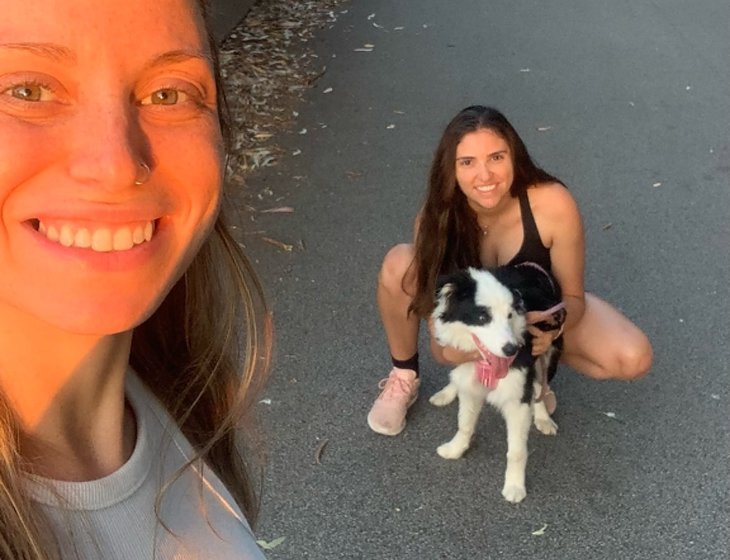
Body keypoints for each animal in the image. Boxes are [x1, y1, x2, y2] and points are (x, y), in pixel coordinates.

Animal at [429, 264, 565, 503]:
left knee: (541, 384)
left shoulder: (517, 398)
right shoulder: (470, 384)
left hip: (548, 350)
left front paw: (514, 487)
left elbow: (517, 451)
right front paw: (455, 449)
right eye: (483, 316)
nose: (511, 350)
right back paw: (447, 392)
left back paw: (543, 418)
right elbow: (464, 424)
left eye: (510, 314)